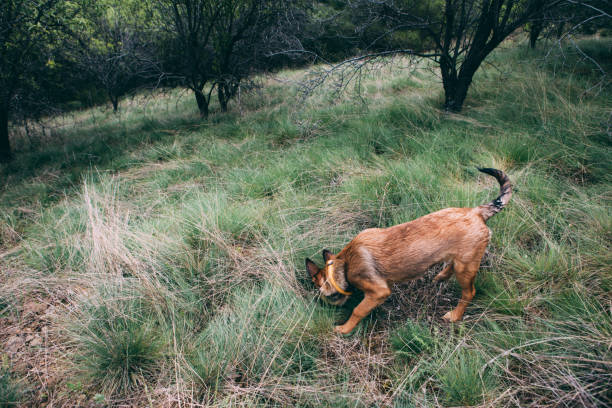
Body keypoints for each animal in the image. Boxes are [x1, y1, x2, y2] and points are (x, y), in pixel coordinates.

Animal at [306, 167, 512, 334]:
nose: (321, 308)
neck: (345, 262)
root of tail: (476, 211)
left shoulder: (378, 292)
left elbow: (358, 311)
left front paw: (344, 328)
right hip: (462, 261)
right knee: (451, 265)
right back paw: (441, 276)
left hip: (466, 268)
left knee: (468, 293)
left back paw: (455, 315)